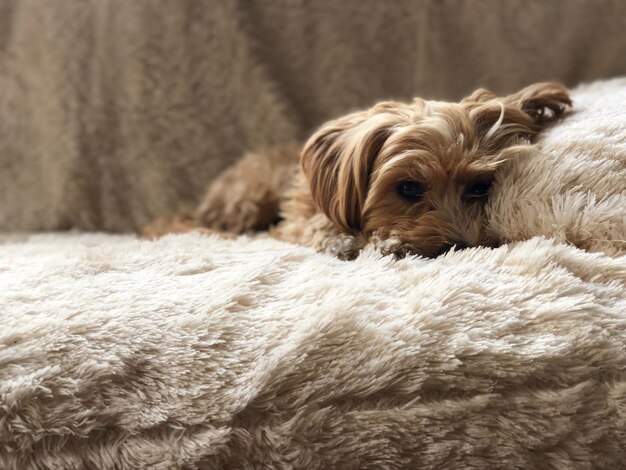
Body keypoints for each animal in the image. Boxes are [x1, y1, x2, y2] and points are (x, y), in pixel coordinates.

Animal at [144, 80, 624, 258]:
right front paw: (364, 240)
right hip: (249, 196)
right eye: (408, 188)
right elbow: (316, 229)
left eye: (479, 186)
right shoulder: (296, 219)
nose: (460, 245)